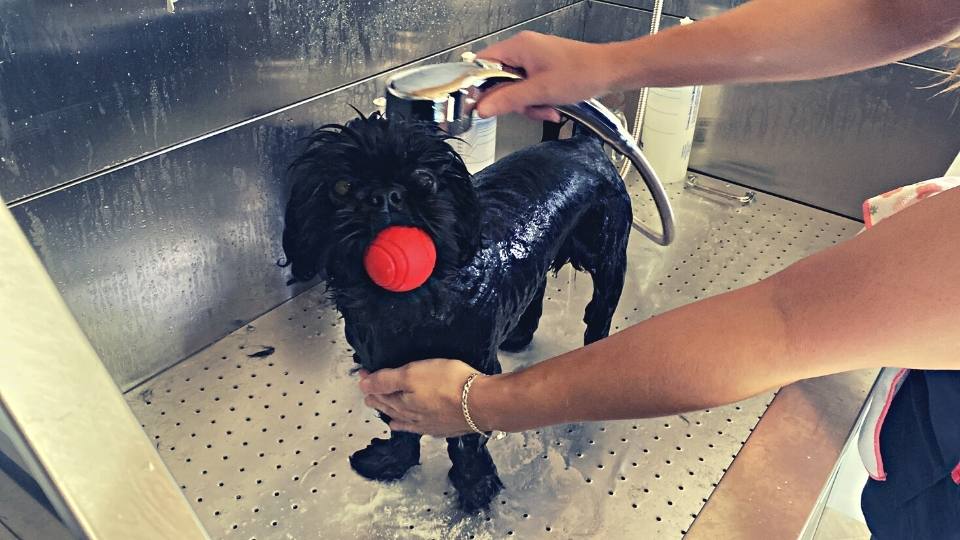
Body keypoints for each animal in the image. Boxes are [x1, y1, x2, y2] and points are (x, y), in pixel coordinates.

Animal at [282, 114, 632, 510]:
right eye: (342, 186)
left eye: (425, 180)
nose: (384, 196)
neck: (414, 305)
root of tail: (585, 144)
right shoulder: (382, 366)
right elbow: (401, 428)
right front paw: (392, 461)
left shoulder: (473, 372)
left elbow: (466, 440)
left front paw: (476, 484)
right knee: (537, 286)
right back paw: (519, 335)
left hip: (608, 258)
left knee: (599, 312)